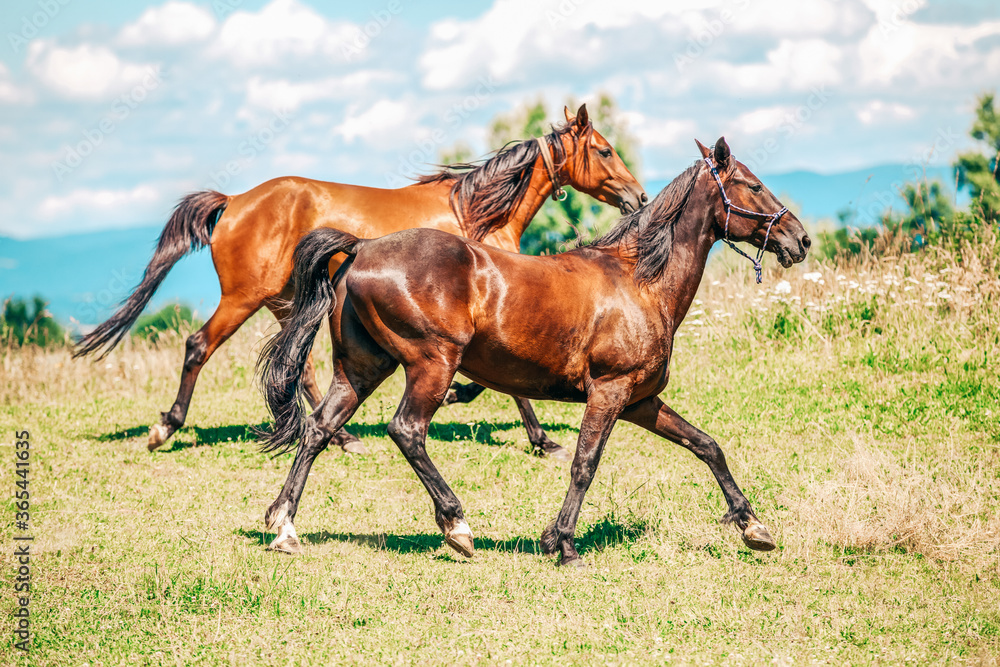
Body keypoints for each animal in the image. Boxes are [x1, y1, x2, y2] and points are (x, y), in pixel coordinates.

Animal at [72, 104, 648, 456]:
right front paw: (539, 439)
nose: (638, 196)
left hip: (288, 302)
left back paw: (339, 436)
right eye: (604, 150)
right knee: (199, 346)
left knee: (298, 367)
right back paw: (165, 427)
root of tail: (233, 202)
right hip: (242, 298)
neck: (476, 214)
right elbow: (506, 386)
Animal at [258, 138, 812, 568]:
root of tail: (362, 248)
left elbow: (706, 446)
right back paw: (457, 526)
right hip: (431, 365)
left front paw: (753, 526)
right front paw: (562, 544)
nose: (801, 239)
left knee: (318, 429)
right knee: (407, 431)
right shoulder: (609, 393)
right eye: (753, 185)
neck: (640, 282)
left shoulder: (640, 402)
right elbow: (585, 463)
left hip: (361, 369)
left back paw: (284, 526)